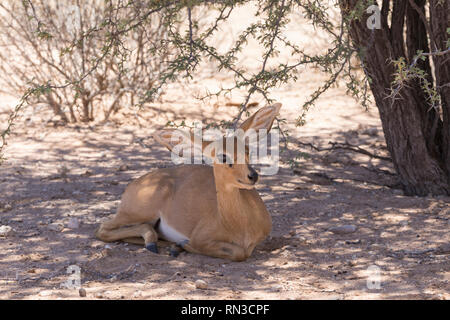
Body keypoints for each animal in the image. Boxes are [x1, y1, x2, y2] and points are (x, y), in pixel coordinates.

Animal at [96, 104, 282, 262]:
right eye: (222, 156)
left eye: (247, 150)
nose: (252, 176)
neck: (238, 225)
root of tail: (133, 185)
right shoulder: (201, 238)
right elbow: (239, 253)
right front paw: (181, 245)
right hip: (137, 212)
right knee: (103, 228)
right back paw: (157, 244)